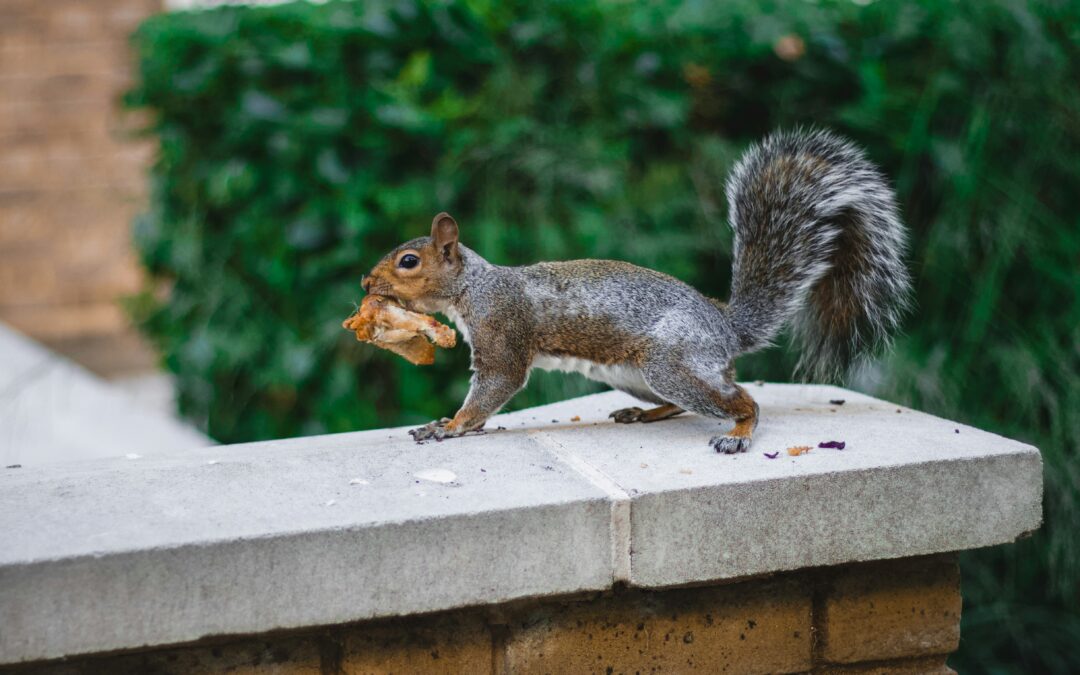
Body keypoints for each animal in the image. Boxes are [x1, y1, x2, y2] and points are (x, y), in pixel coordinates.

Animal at [361, 129, 911, 453]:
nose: (367, 283)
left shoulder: (503, 329)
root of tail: (724, 324)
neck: (476, 286)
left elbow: (496, 384)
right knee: (688, 400)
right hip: (636, 373)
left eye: (409, 262)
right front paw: (448, 423)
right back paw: (644, 412)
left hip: (671, 361)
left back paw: (738, 431)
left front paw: (450, 426)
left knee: (743, 400)